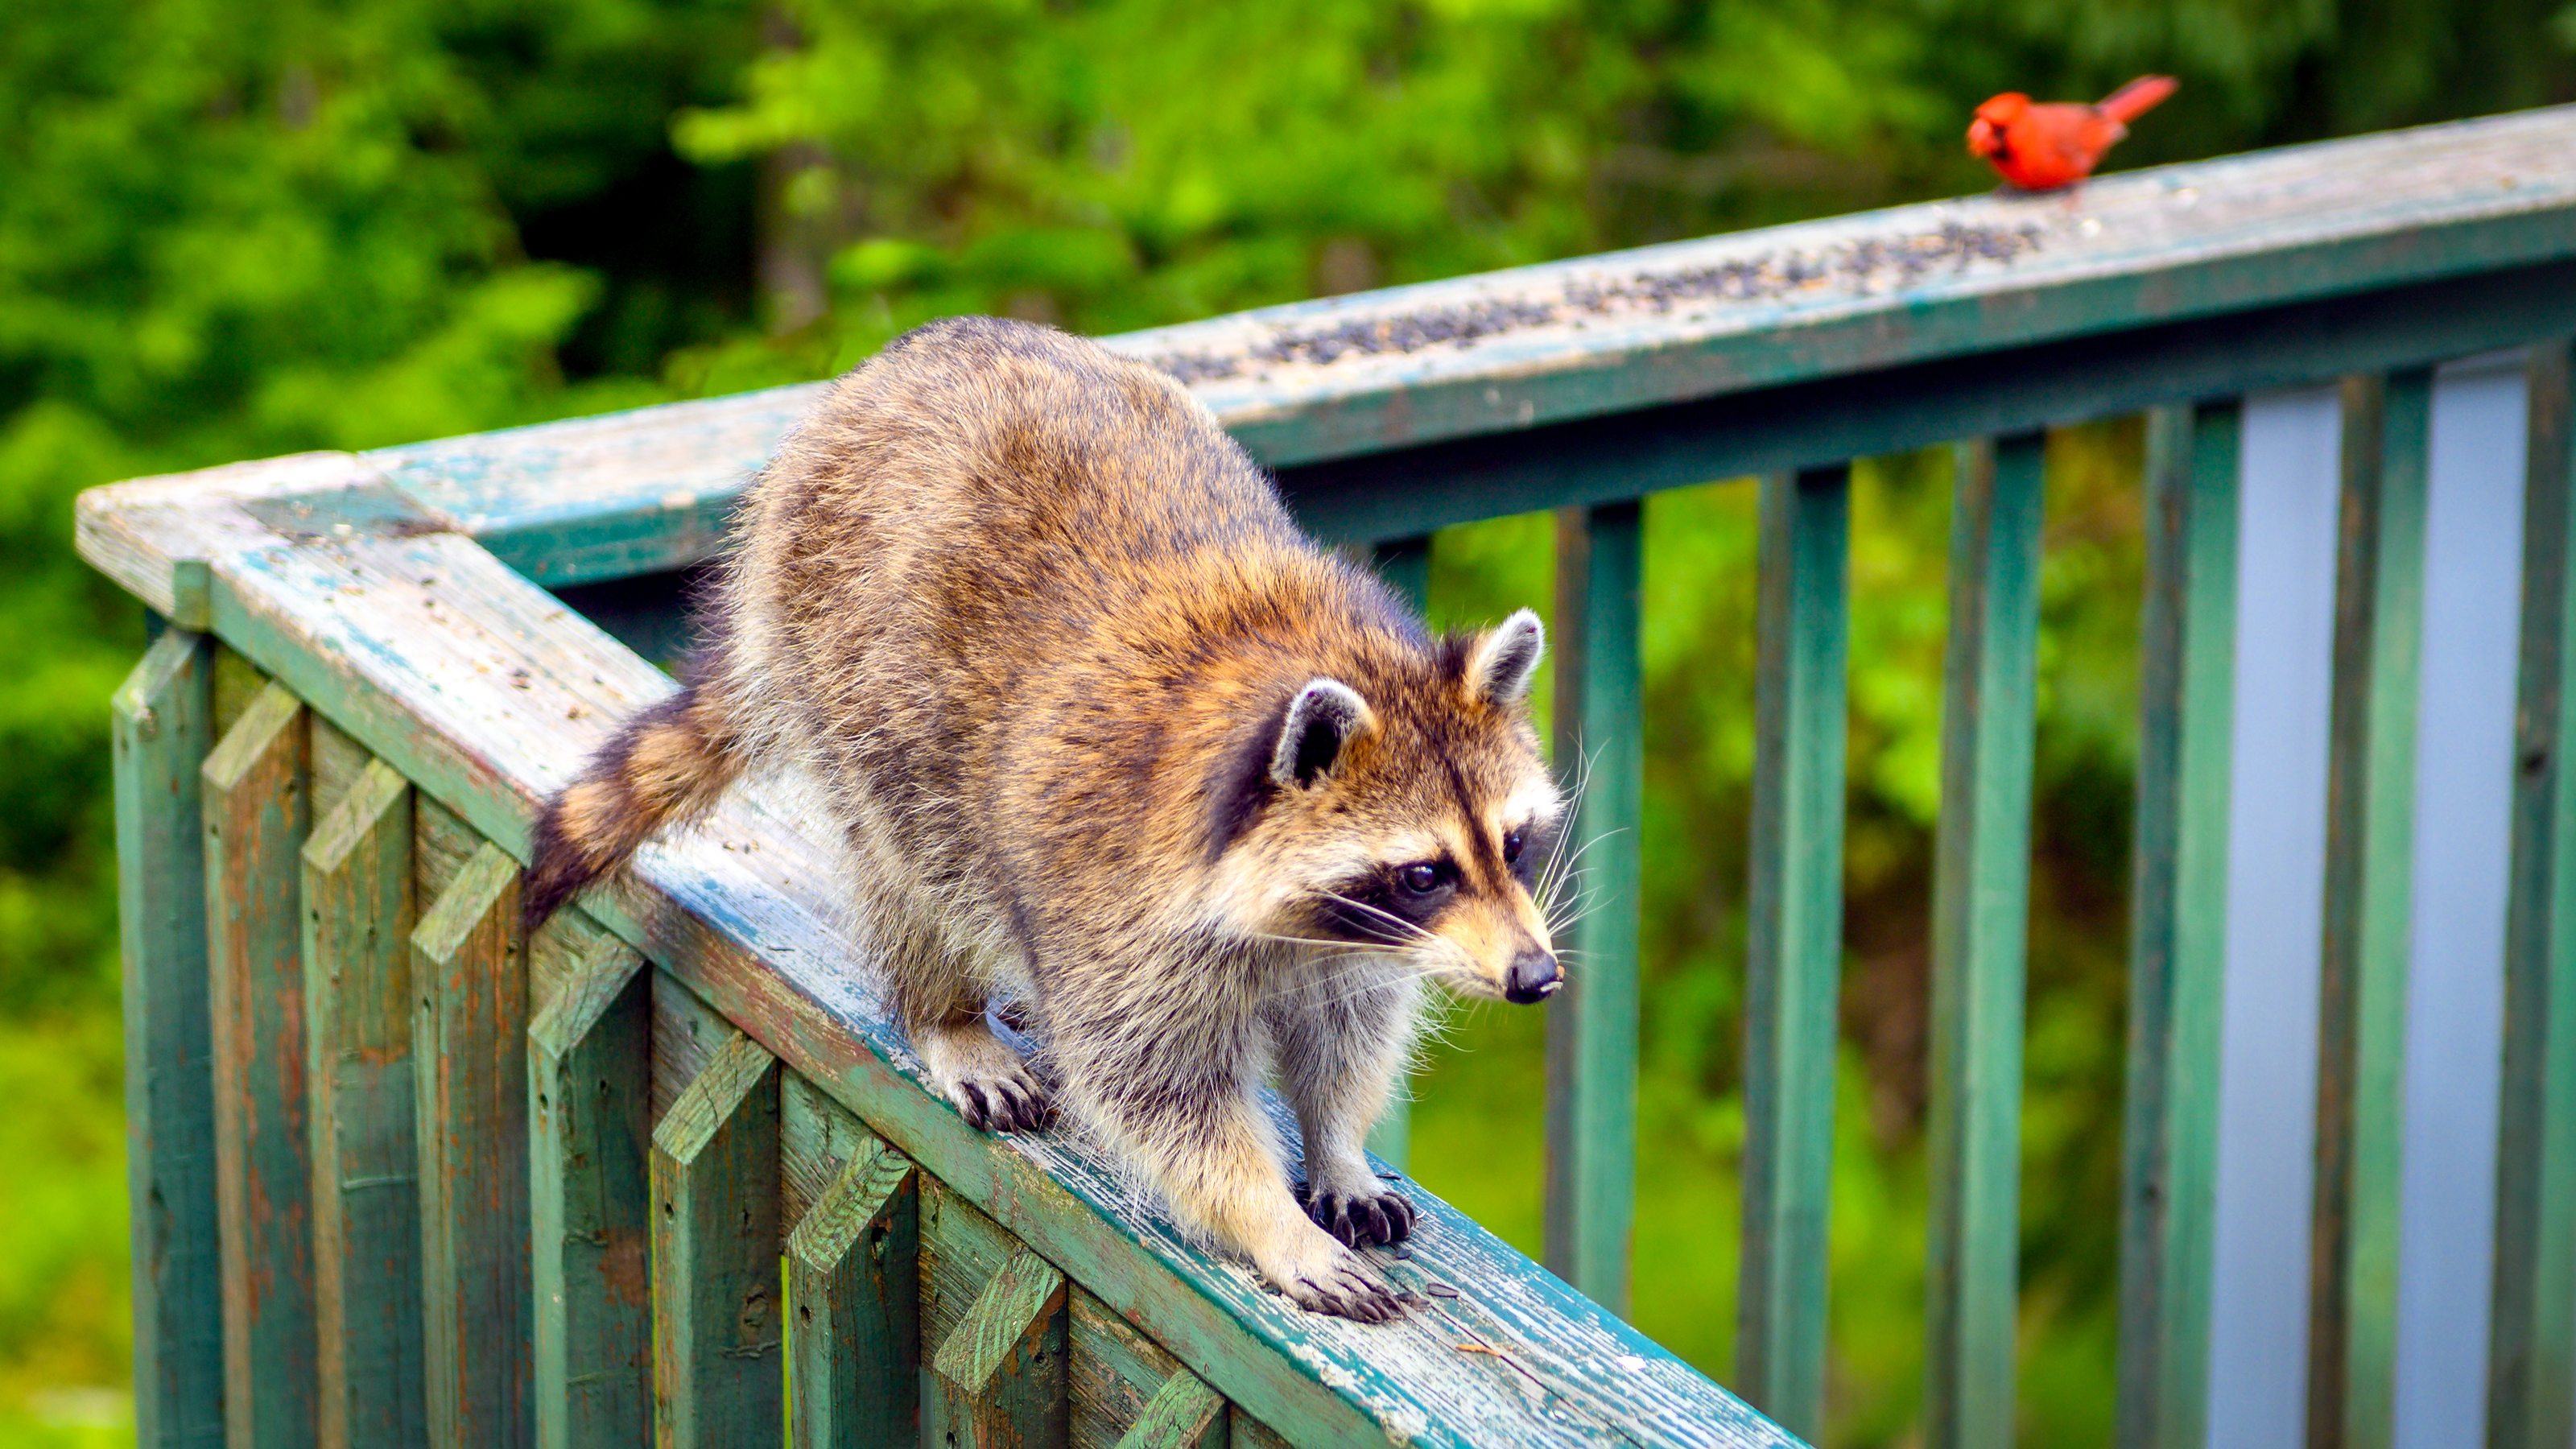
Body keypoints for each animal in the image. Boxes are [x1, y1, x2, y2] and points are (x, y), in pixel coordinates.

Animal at [522, 316, 1555, 1319]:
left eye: (1512, 844)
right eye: (1424, 873)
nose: (1536, 976)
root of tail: (897, 364)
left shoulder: (1350, 945)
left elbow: (1347, 1032)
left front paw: (1336, 1146)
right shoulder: (1114, 899)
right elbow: (1159, 1097)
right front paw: (1268, 1218)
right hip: (841, 667)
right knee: (910, 873)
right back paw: (941, 1011)